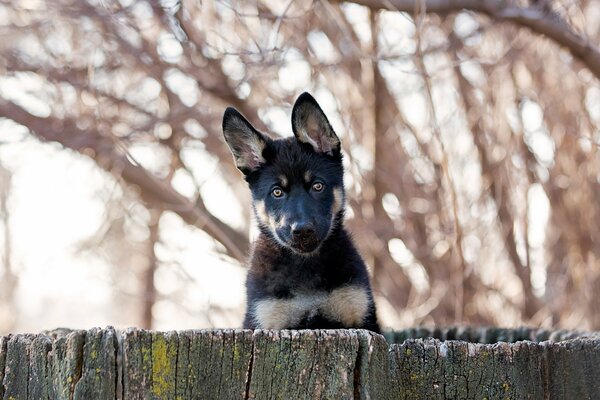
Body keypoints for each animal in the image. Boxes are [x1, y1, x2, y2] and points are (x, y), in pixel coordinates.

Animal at [220, 93, 380, 332]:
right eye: (277, 192)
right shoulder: (268, 318)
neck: (305, 265)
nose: (302, 230)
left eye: (317, 186)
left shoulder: (359, 316)